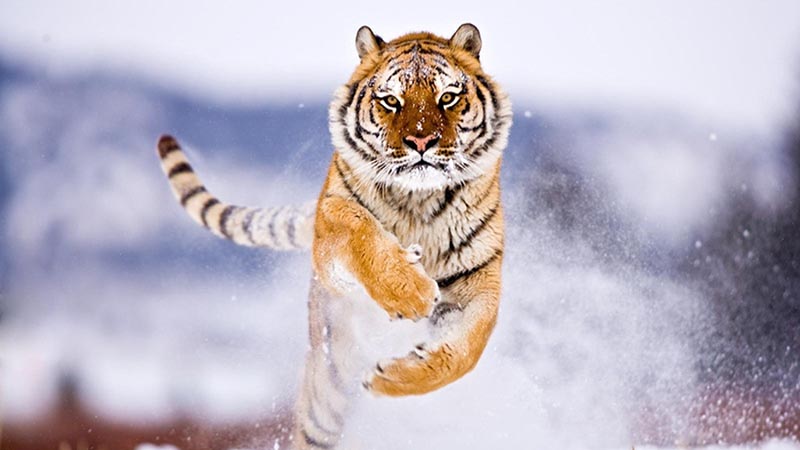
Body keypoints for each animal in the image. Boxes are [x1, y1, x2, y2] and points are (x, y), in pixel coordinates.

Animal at [156, 23, 511, 449]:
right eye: (391, 100)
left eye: (448, 97)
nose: (421, 142)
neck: (418, 201)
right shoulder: (331, 228)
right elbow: (357, 227)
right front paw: (411, 291)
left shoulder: (479, 278)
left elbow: (467, 349)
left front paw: (392, 377)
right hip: (327, 389)